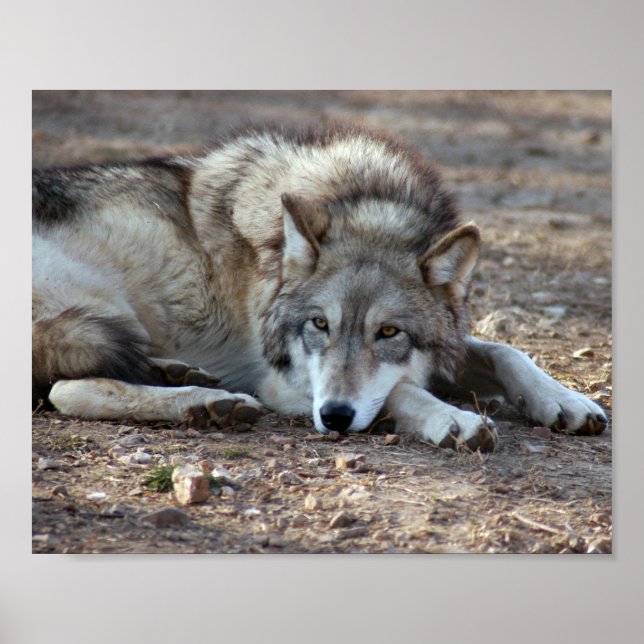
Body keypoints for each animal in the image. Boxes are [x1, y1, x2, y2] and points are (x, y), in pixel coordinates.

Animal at [32, 124, 607, 452]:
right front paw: (453, 418)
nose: (333, 417)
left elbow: (505, 351)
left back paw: (180, 375)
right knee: (66, 389)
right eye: (318, 324)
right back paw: (205, 402)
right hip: (103, 306)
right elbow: (400, 390)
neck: (361, 201)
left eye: (389, 333)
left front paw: (564, 401)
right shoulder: (283, 381)